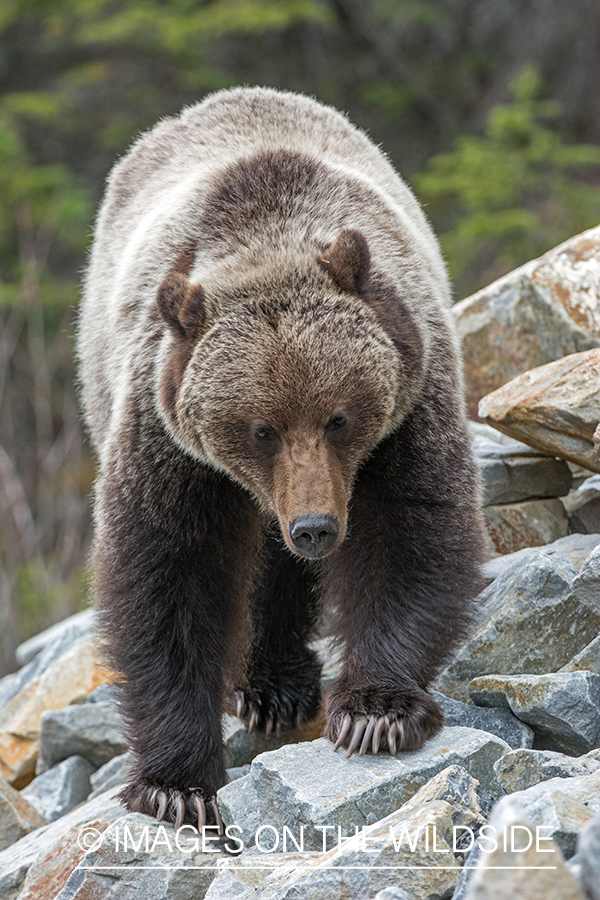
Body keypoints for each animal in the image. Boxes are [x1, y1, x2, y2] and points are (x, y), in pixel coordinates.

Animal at [77, 86, 486, 828]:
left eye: (338, 417)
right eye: (259, 428)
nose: (316, 527)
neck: (265, 242)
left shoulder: (409, 403)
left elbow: (410, 529)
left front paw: (375, 712)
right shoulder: (169, 442)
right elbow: (169, 575)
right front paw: (176, 784)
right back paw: (267, 686)